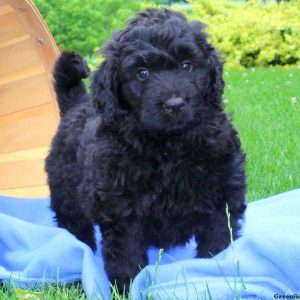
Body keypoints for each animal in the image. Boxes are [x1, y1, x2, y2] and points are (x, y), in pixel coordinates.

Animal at [45, 8, 246, 290]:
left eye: (187, 65)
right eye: (142, 73)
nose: (175, 104)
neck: (169, 146)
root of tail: (76, 105)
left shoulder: (222, 197)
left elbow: (216, 243)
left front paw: (214, 273)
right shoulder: (121, 210)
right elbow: (126, 255)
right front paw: (127, 289)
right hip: (67, 198)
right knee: (76, 232)